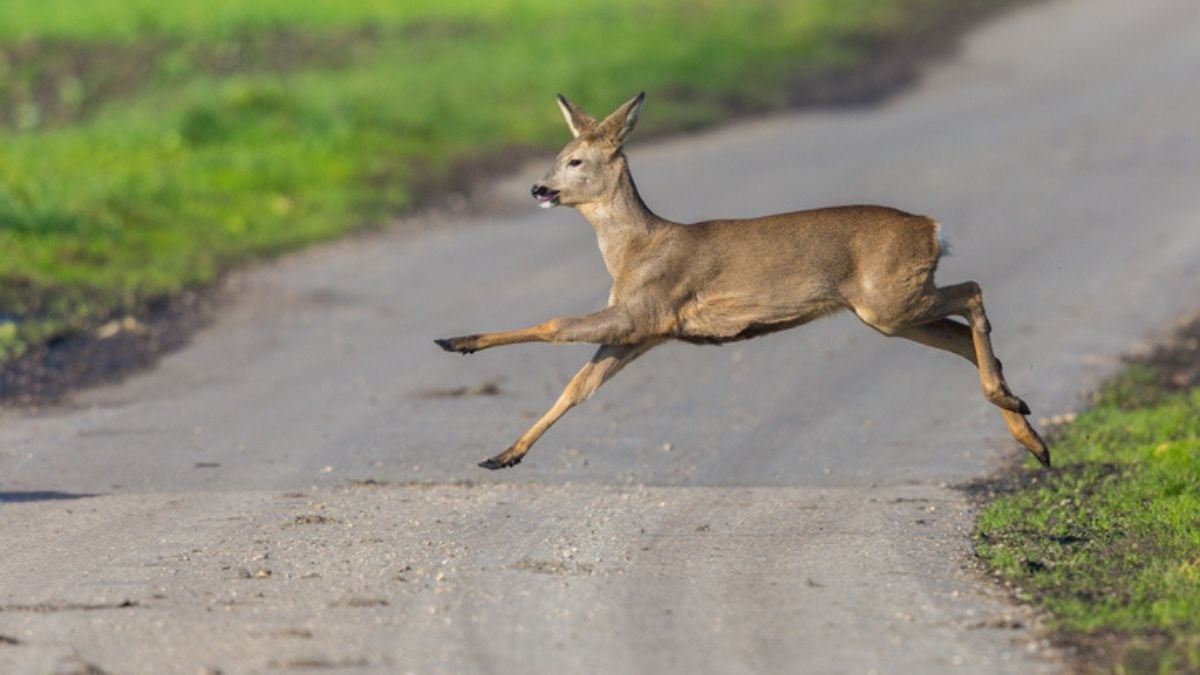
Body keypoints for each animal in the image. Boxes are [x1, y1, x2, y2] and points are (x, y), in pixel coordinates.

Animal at [434, 91, 1051, 470]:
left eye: (576, 161)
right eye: (559, 155)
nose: (538, 189)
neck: (635, 250)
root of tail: (932, 228)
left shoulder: (645, 310)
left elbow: (555, 324)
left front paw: (455, 341)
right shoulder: (643, 331)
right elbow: (578, 387)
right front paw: (503, 455)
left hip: (888, 297)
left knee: (972, 292)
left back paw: (1013, 406)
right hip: (888, 311)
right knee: (960, 332)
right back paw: (1030, 432)